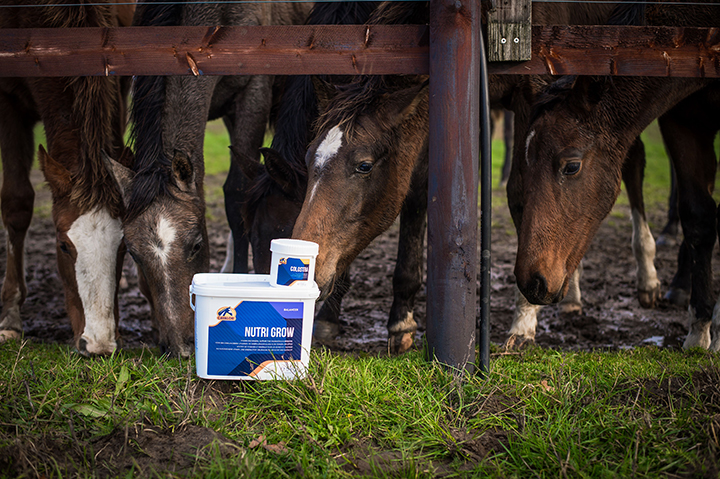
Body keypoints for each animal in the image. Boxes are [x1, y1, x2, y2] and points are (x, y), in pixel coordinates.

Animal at [0, 0, 133, 355]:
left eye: (124, 248)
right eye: (62, 246)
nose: (98, 344)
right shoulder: (8, 103)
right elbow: (17, 203)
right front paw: (10, 315)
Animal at [509, 0, 720, 349]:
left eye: (571, 166)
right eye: (523, 167)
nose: (531, 282)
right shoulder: (683, 121)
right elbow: (698, 217)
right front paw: (699, 330)